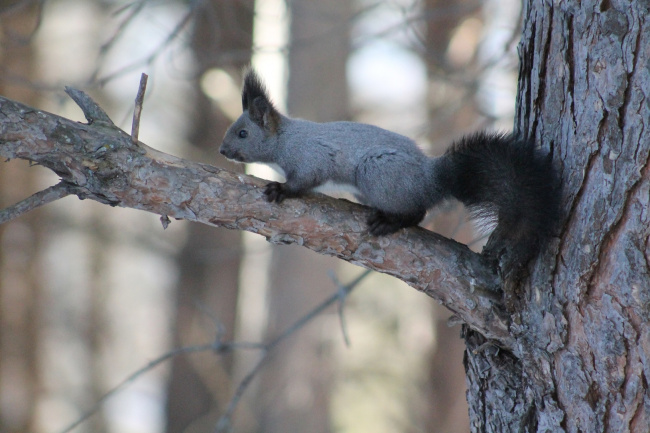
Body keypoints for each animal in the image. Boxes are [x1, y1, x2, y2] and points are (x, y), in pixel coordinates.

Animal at [218, 69, 556, 276]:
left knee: (417, 213)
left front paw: (281, 190)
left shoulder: (310, 157)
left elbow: (304, 181)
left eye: (243, 133)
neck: (284, 139)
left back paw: (388, 222)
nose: (221, 151)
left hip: (377, 173)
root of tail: (432, 179)